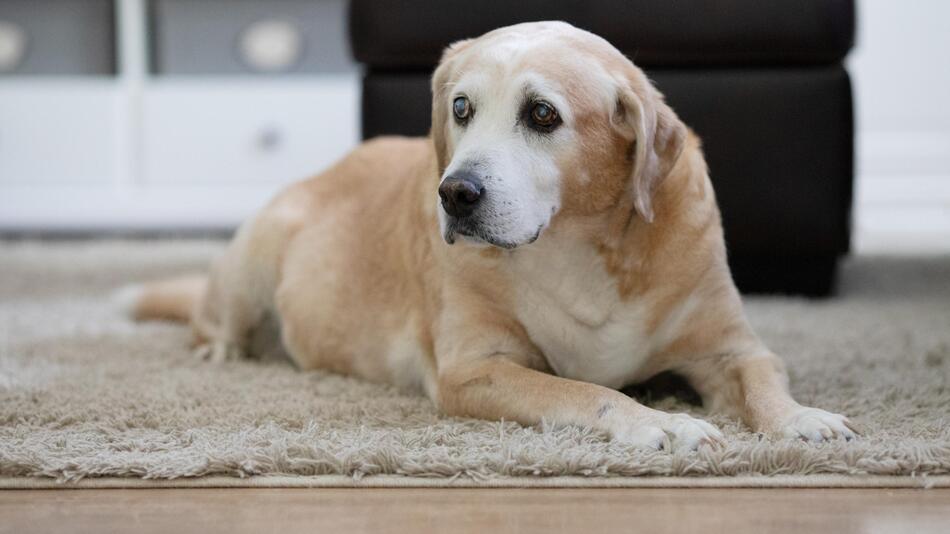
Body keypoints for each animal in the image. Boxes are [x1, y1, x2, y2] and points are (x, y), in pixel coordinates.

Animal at [122, 23, 860, 454]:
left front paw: (801, 418)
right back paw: (223, 347)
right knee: (213, 317)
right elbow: (581, 391)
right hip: (256, 253)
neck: (574, 248)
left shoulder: (730, 347)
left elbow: (764, 378)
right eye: (460, 107)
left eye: (542, 114)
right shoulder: (474, 369)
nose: (454, 194)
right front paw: (661, 421)